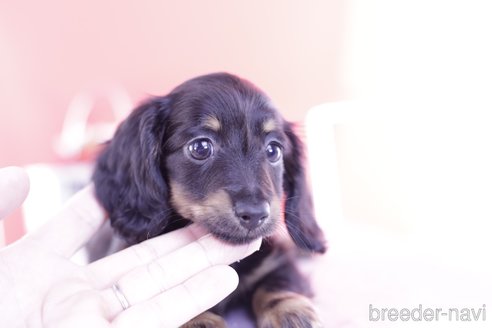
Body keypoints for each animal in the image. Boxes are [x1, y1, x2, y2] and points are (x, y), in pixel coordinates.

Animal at [92, 73, 326, 326]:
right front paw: (199, 320)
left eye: (274, 150)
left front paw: (291, 312)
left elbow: (278, 282)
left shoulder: (277, 260)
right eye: (201, 147)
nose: (255, 214)